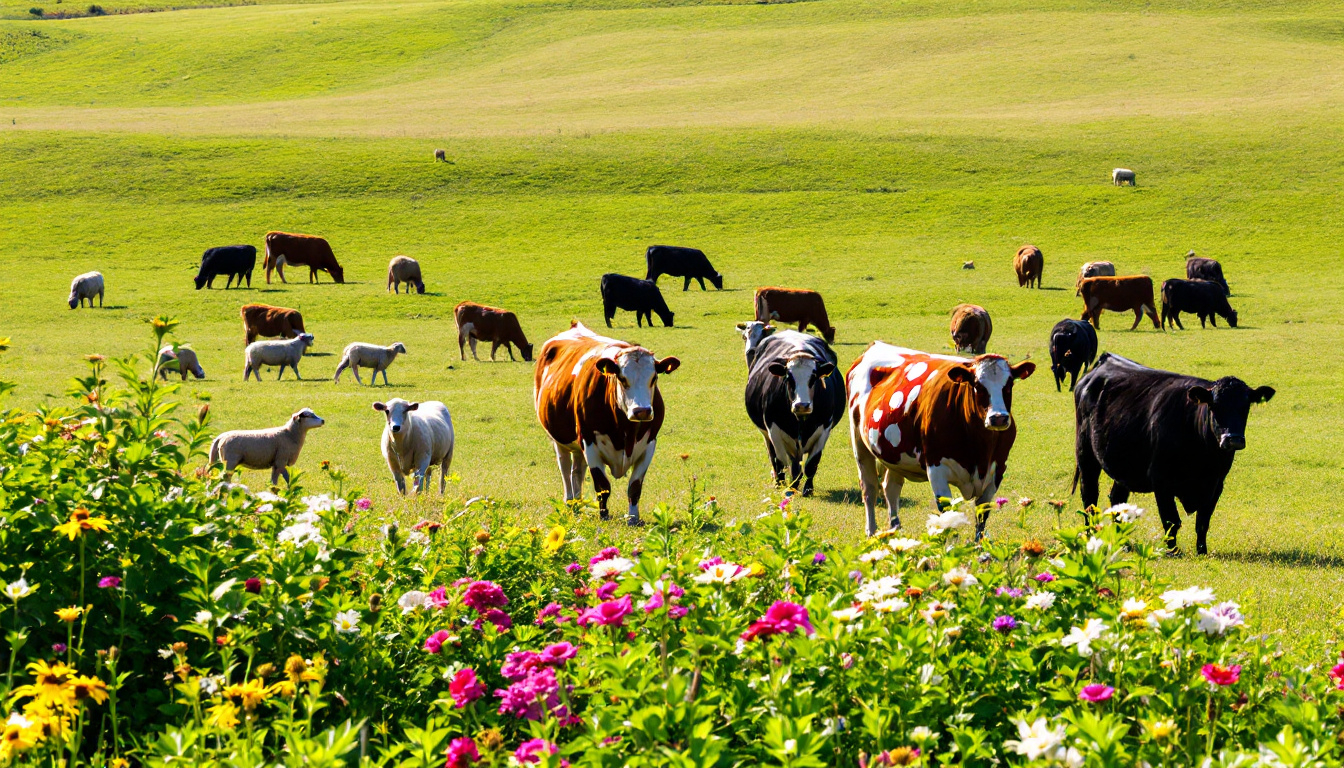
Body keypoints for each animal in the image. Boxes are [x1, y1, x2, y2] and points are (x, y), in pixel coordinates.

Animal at [534, 321, 682, 527]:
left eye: (654, 378)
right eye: (622, 378)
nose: (642, 411)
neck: (626, 432)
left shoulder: (649, 444)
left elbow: (635, 486)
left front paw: (633, 518)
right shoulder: (589, 442)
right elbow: (602, 486)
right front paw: (603, 515)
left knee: (577, 471)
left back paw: (578, 504)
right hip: (559, 440)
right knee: (565, 468)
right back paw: (570, 502)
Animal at [741, 328, 844, 494]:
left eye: (814, 377)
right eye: (789, 377)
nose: (802, 405)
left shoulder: (824, 430)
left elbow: (811, 464)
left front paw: (808, 489)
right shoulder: (773, 430)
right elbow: (781, 461)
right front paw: (785, 485)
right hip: (767, 435)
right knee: (776, 458)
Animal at [844, 344, 1032, 538]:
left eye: (1009, 384)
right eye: (978, 385)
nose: (998, 418)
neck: (980, 451)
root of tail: (877, 344)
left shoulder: (997, 470)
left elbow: (981, 518)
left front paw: (978, 545)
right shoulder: (936, 469)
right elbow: (949, 517)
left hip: (894, 456)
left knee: (891, 488)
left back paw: (896, 530)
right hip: (859, 441)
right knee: (869, 488)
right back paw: (871, 531)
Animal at [1069, 352, 1268, 556]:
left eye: (1245, 407)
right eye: (1214, 406)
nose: (1233, 439)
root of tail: (1105, 359)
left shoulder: (1216, 484)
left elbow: (1203, 522)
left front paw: (1202, 551)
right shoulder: (1161, 480)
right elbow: (1171, 520)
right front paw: (1173, 551)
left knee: (1117, 499)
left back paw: (1121, 540)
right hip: (1086, 455)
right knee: (1089, 497)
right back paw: (1091, 535)